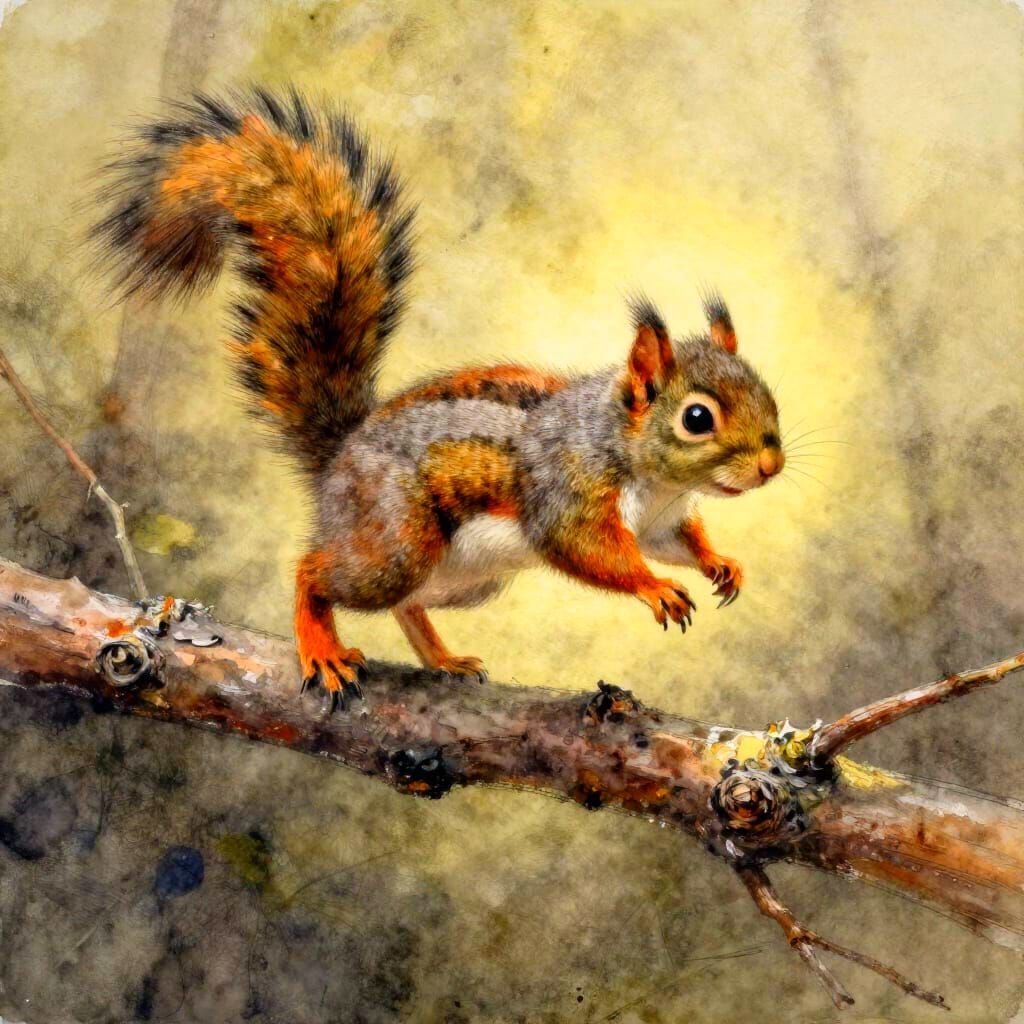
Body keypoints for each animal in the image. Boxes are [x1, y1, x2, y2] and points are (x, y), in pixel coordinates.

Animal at [92, 89, 785, 709]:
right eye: (697, 418)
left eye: (767, 394)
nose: (771, 467)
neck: (643, 465)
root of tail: (339, 458)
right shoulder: (567, 492)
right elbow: (593, 552)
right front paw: (655, 587)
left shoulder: (664, 519)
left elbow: (679, 541)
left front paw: (720, 562)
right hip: (397, 539)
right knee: (318, 572)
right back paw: (321, 645)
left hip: (464, 581)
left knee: (409, 606)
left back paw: (443, 659)